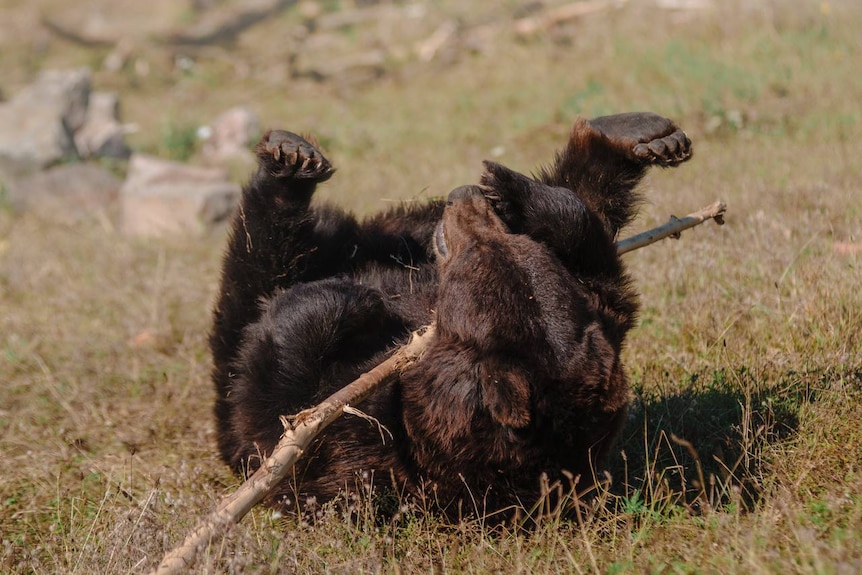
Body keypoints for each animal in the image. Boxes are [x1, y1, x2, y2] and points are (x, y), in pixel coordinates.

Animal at [209, 110, 696, 520]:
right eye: (513, 245)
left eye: (478, 253)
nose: (466, 196)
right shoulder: (602, 314)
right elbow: (593, 248)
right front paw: (513, 188)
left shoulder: (359, 440)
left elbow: (277, 409)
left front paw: (353, 300)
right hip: (390, 231)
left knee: (256, 271)